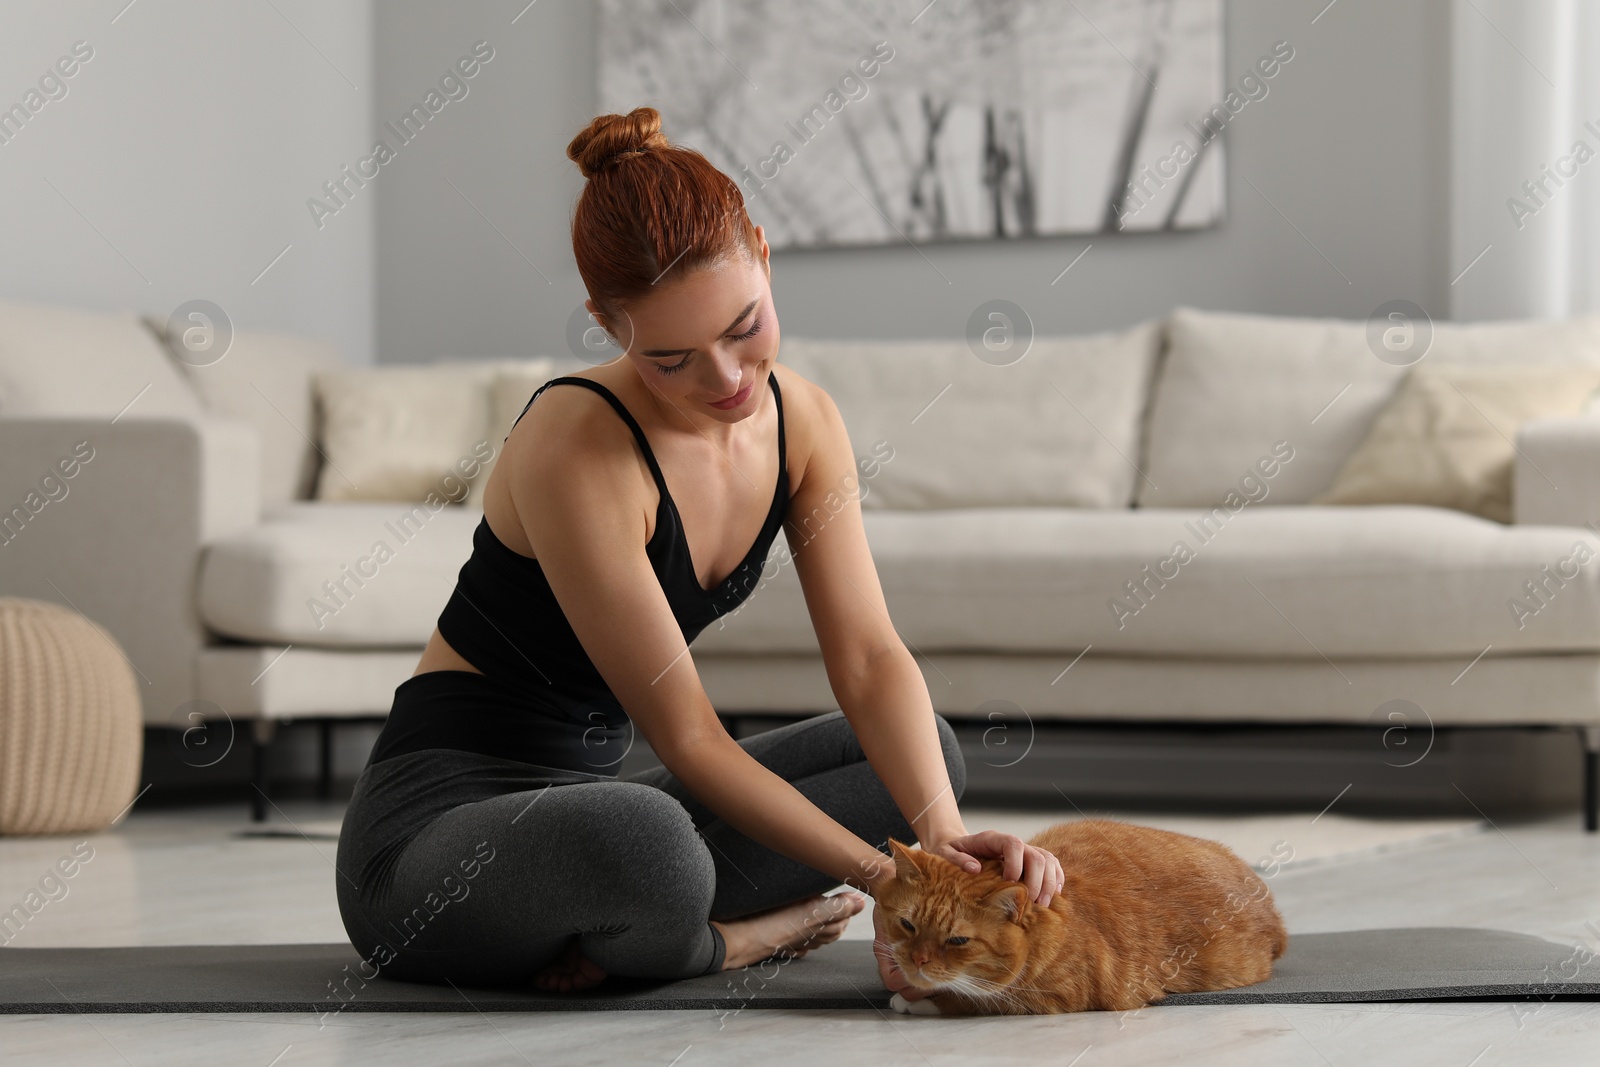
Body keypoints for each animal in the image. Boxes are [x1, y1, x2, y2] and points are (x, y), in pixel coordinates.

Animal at [870, 819, 1292, 1017]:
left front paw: (917, 1000)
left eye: (957, 941)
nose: (917, 960)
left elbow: (977, 998)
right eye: (907, 925)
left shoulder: (1054, 996)